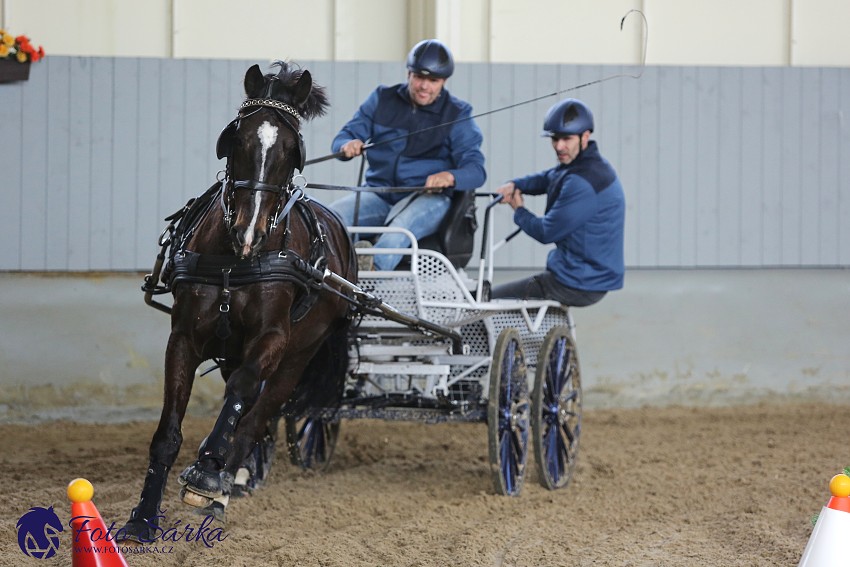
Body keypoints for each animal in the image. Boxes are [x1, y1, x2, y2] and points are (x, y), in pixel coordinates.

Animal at [122, 62, 354, 540]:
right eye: (238, 138)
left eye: (290, 148)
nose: (250, 231)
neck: (236, 261)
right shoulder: (184, 337)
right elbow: (168, 433)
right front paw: (143, 517)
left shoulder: (272, 339)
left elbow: (244, 395)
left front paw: (207, 474)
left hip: (299, 354)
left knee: (257, 415)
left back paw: (222, 487)